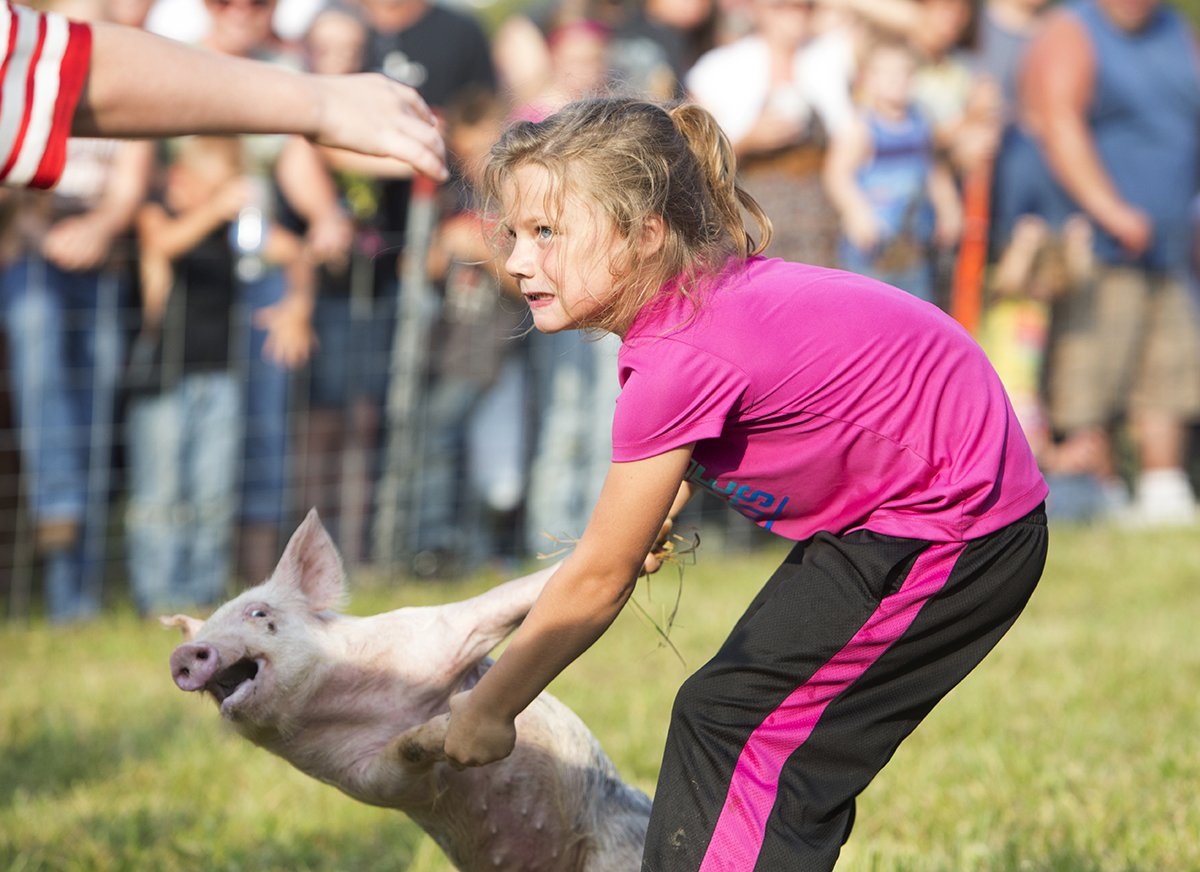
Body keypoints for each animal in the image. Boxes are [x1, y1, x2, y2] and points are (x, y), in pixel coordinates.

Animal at [165, 510, 652, 872]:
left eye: (259, 613)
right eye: (203, 632)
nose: (183, 653)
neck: (354, 706)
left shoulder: (437, 632)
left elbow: (500, 600)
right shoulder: (367, 781)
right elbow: (403, 754)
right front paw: (441, 730)